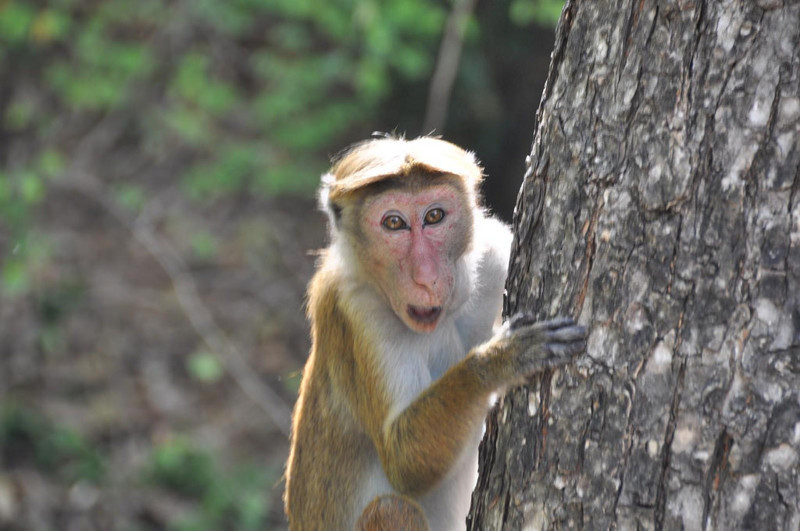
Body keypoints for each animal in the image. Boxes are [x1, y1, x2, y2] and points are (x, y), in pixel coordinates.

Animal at [284, 137, 584, 531]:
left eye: (434, 217)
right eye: (394, 223)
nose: (425, 278)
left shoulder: (494, 250)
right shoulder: (355, 313)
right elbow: (404, 462)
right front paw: (497, 361)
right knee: (391, 509)